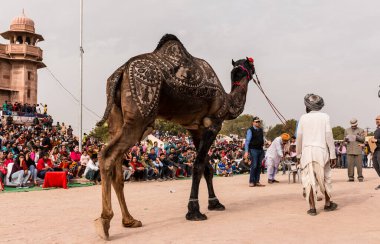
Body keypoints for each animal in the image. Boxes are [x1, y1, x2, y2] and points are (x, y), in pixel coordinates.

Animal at [94, 33, 255, 239]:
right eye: (249, 66)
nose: (253, 70)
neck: (228, 101)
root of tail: (120, 73)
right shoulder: (214, 123)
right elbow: (198, 165)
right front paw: (194, 211)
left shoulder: (196, 129)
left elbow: (207, 168)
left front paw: (215, 203)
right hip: (138, 117)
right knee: (107, 154)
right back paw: (104, 222)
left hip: (116, 118)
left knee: (116, 167)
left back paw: (130, 220)